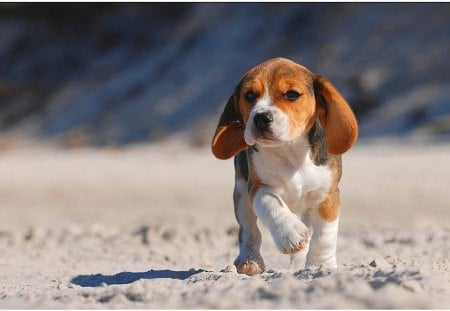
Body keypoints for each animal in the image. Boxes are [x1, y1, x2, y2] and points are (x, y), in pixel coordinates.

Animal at [211, 58, 358, 276]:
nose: (261, 118)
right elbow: (272, 205)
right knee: (249, 230)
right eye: (249, 95)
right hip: (241, 194)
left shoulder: (327, 194)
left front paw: (320, 265)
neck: (291, 150)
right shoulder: (258, 187)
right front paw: (290, 233)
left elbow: (324, 235)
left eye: (292, 94)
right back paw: (249, 260)